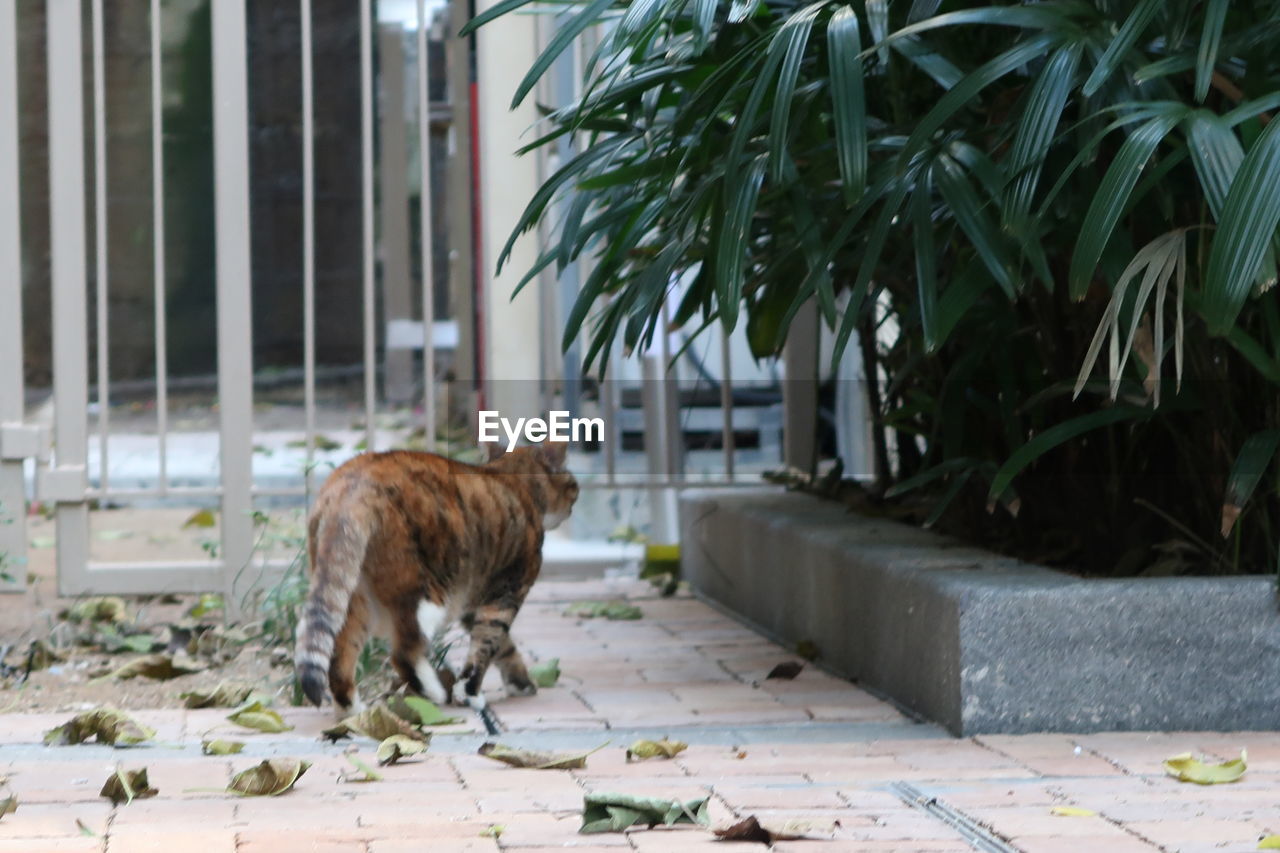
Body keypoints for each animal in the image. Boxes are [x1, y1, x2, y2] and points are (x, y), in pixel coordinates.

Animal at [293, 440, 578, 722]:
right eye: (572, 485)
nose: (573, 501)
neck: (511, 478)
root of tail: (353, 487)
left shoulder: (474, 601)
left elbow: (504, 647)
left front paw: (519, 682)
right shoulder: (507, 592)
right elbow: (488, 643)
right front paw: (470, 692)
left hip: (353, 597)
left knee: (339, 654)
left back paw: (351, 710)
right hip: (426, 592)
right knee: (404, 651)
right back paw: (433, 691)